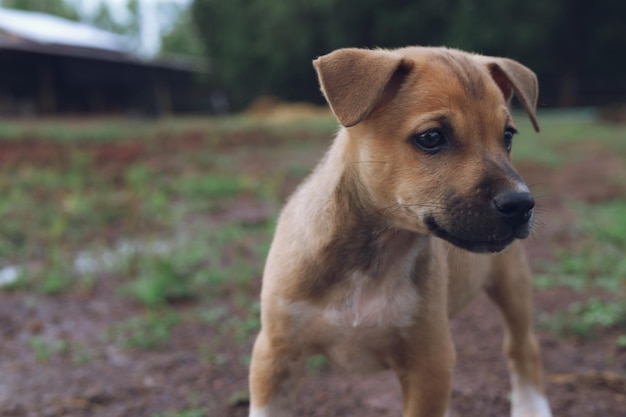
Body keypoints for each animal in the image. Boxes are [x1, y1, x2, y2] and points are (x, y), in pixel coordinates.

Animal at [249, 46, 552, 416]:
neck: (376, 254)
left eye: (507, 136)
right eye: (431, 138)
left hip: (513, 284)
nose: (520, 204)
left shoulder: (429, 364)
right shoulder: (274, 356)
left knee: (523, 349)